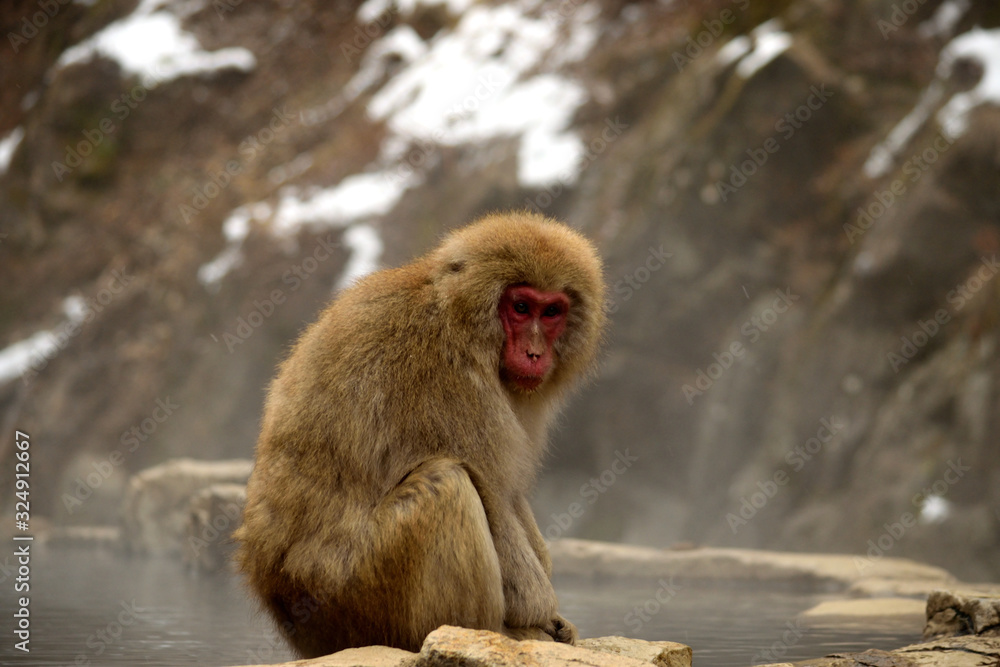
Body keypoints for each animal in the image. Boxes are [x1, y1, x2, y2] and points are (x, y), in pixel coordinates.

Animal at [234, 211, 606, 658]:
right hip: (357, 595)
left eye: (551, 311)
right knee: (447, 485)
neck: (458, 317)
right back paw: (481, 631)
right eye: (520, 307)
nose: (535, 353)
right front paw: (537, 614)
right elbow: (495, 498)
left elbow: (511, 497)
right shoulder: (446, 376)